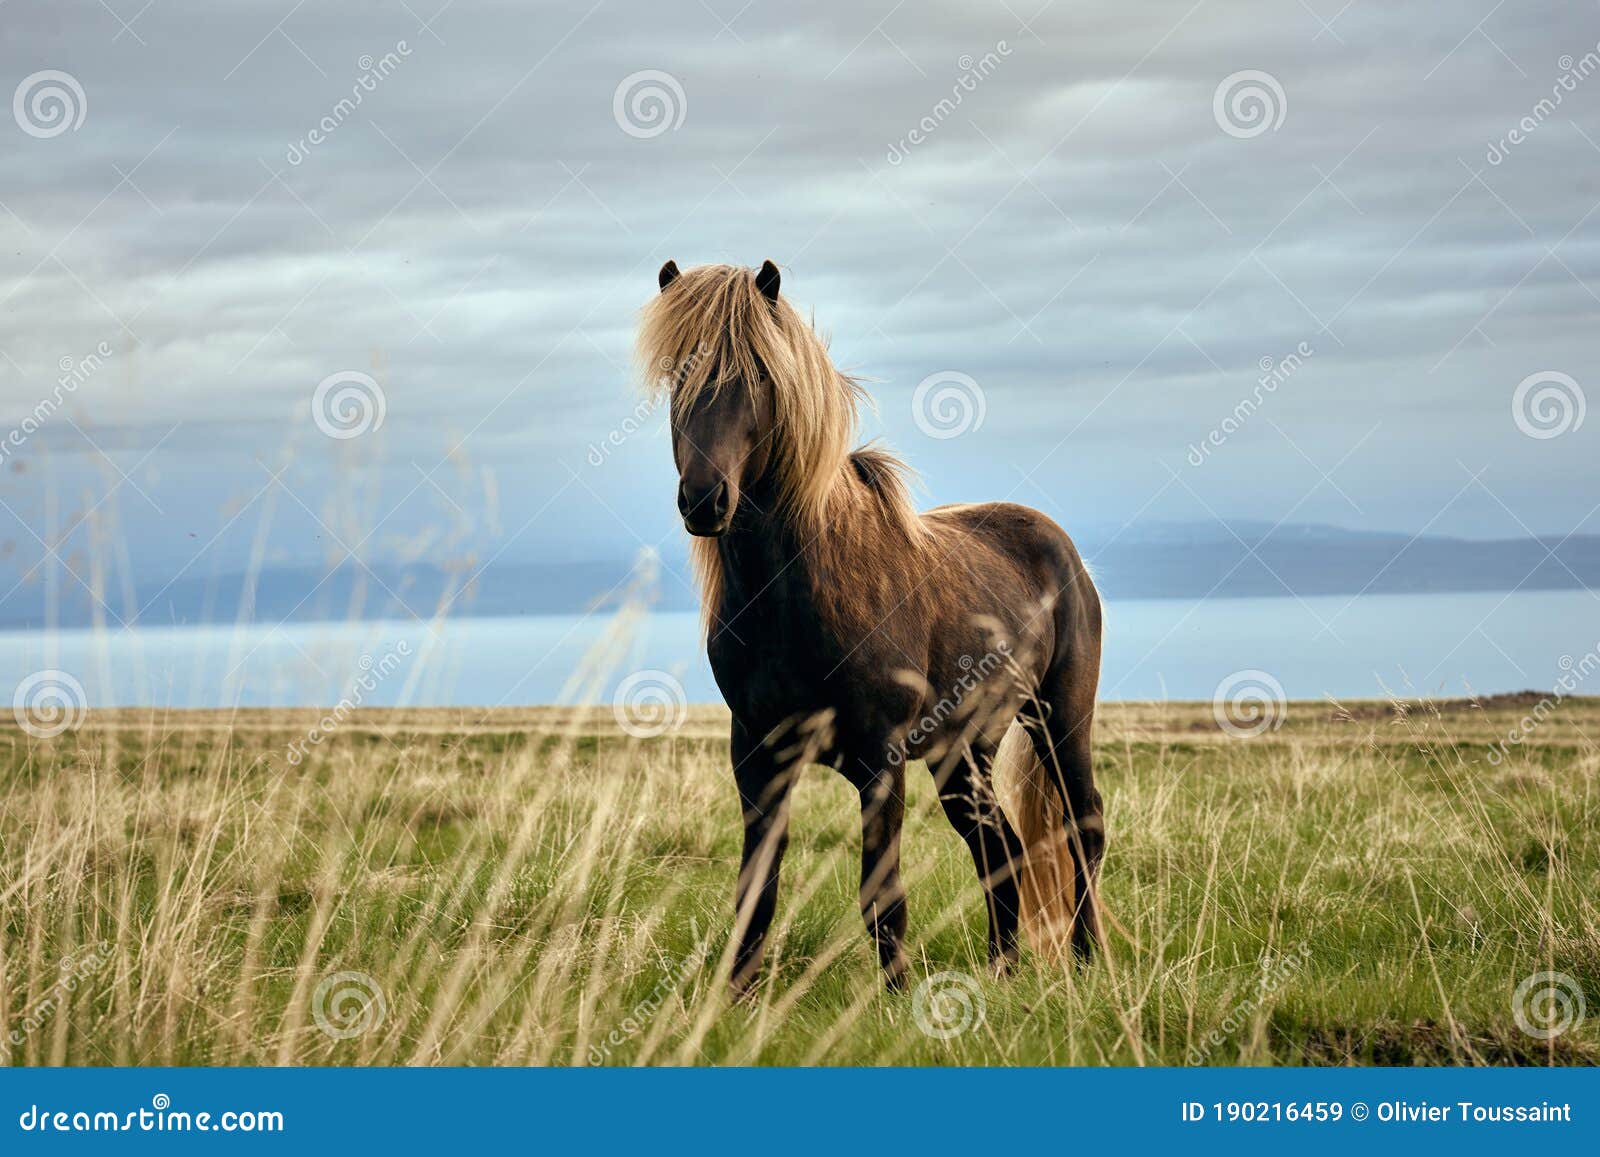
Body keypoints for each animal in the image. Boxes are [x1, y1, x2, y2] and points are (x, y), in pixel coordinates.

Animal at [633, 260, 1100, 998]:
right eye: (680, 374)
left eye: (759, 374)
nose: (705, 500)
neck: (793, 596)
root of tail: (1060, 547)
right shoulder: (756, 755)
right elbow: (755, 889)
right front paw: (734, 997)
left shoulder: (880, 756)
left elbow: (881, 892)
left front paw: (895, 996)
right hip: (964, 751)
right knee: (999, 845)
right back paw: (1003, 969)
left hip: (1061, 718)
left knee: (1083, 828)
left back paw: (1085, 960)